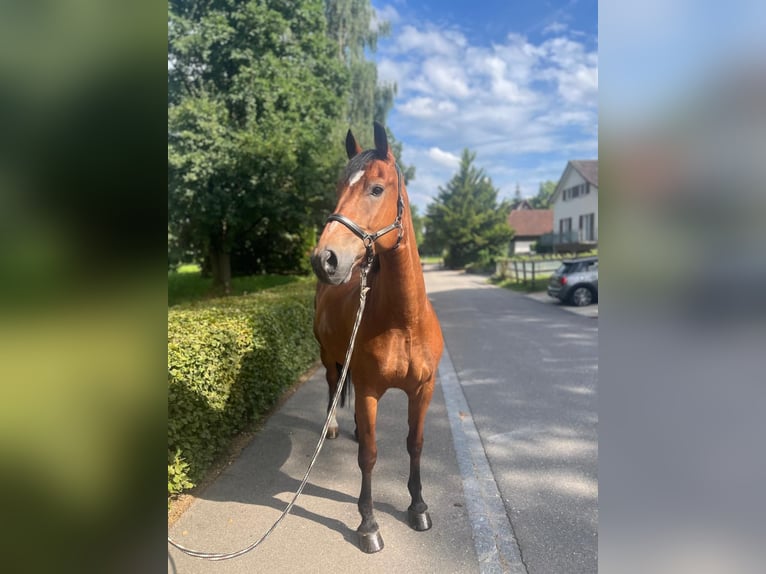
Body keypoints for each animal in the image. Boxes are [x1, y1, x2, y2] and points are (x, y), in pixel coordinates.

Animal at [310, 124, 444, 556]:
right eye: (338, 187)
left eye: (377, 188)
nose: (325, 260)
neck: (404, 322)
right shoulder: (369, 390)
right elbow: (368, 455)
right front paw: (368, 525)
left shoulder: (423, 389)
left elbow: (415, 444)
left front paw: (418, 507)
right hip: (327, 355)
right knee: (332, 385)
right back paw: (335, 426)